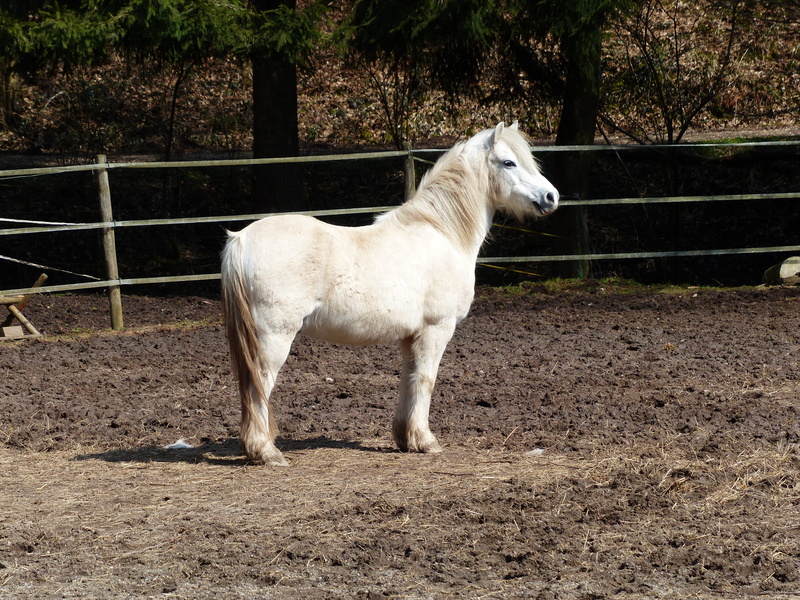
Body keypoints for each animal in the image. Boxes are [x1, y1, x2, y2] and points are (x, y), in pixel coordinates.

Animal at [221, 122, 559, 465]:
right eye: (508, 162)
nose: (551, 196)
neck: (442, 233)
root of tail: (241, 239)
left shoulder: (411, 336)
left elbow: (409, 380)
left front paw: (406, 438)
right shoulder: (436, 329)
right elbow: (426, 380)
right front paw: (426, 441)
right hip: (275, 335)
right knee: (259, 384)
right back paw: (266, 451)